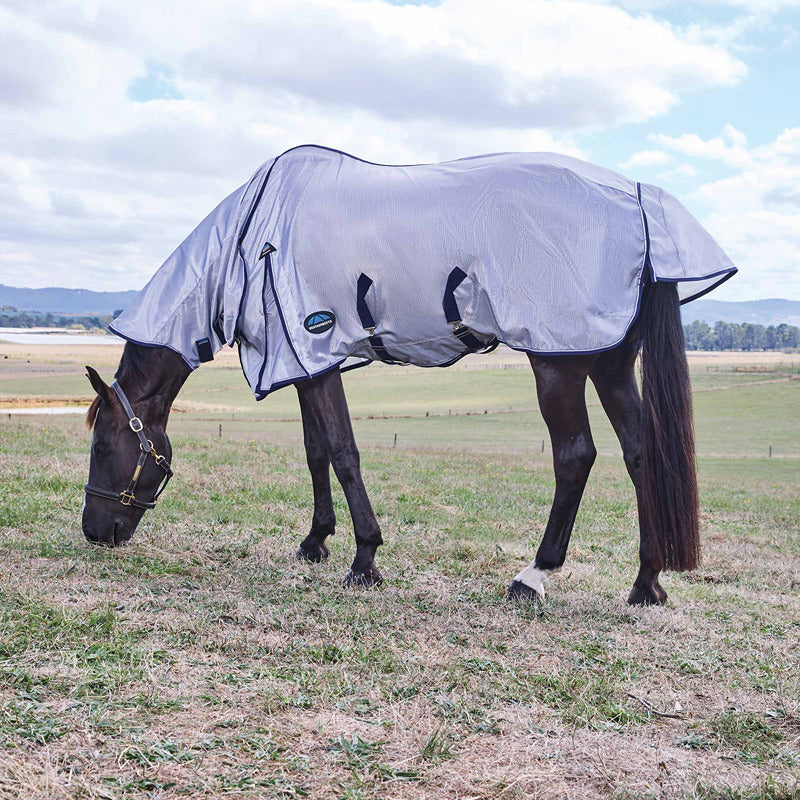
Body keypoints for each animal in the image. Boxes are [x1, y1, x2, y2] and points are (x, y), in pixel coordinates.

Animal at [82, 147, 734, 605]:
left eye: (101, 445)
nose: (94, 531)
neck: (249, 239)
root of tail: (640, 201)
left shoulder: (312, 354)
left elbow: (342, 452)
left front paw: (364, 560)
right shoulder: (307, 362)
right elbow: (316, 450)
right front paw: (316, 541)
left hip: (558, 361)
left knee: (575, 456)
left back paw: (533, 575)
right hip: (609, 361)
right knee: (642, 452)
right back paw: (646, 582)